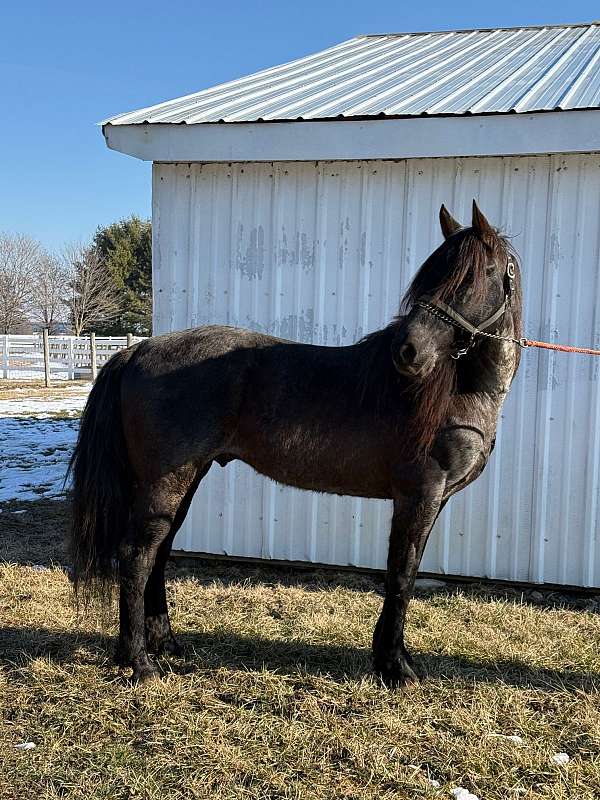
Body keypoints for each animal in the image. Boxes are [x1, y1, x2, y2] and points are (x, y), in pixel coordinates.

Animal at [69, 200, 520, 680]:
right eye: (433, 274)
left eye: (474, 275)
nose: (408, 351)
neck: (456, 390)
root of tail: (136, 349)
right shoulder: (420, 494)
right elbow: (401, 573)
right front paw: (397, 667)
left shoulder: (434, 499)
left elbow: (405, 571)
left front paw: (388, 657)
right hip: (164, 484)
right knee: (137, 556)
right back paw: (138, 662)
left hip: (184, 481)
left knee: (159, 553)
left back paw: (166, 646)